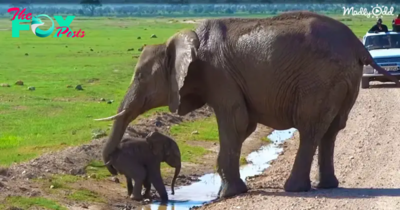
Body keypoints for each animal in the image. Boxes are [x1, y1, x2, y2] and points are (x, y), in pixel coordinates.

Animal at [94, 11, 400, 199]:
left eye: (139, 76)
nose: (113, 165)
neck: (182, 38)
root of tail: (358, 46)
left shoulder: (217, 74)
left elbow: (235, 121)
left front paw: (228, 194)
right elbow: (244, 125)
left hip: (320, 81)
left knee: (310, 129)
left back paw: (294, 189)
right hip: (344, 81)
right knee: (331, 131)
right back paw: (327, 185)